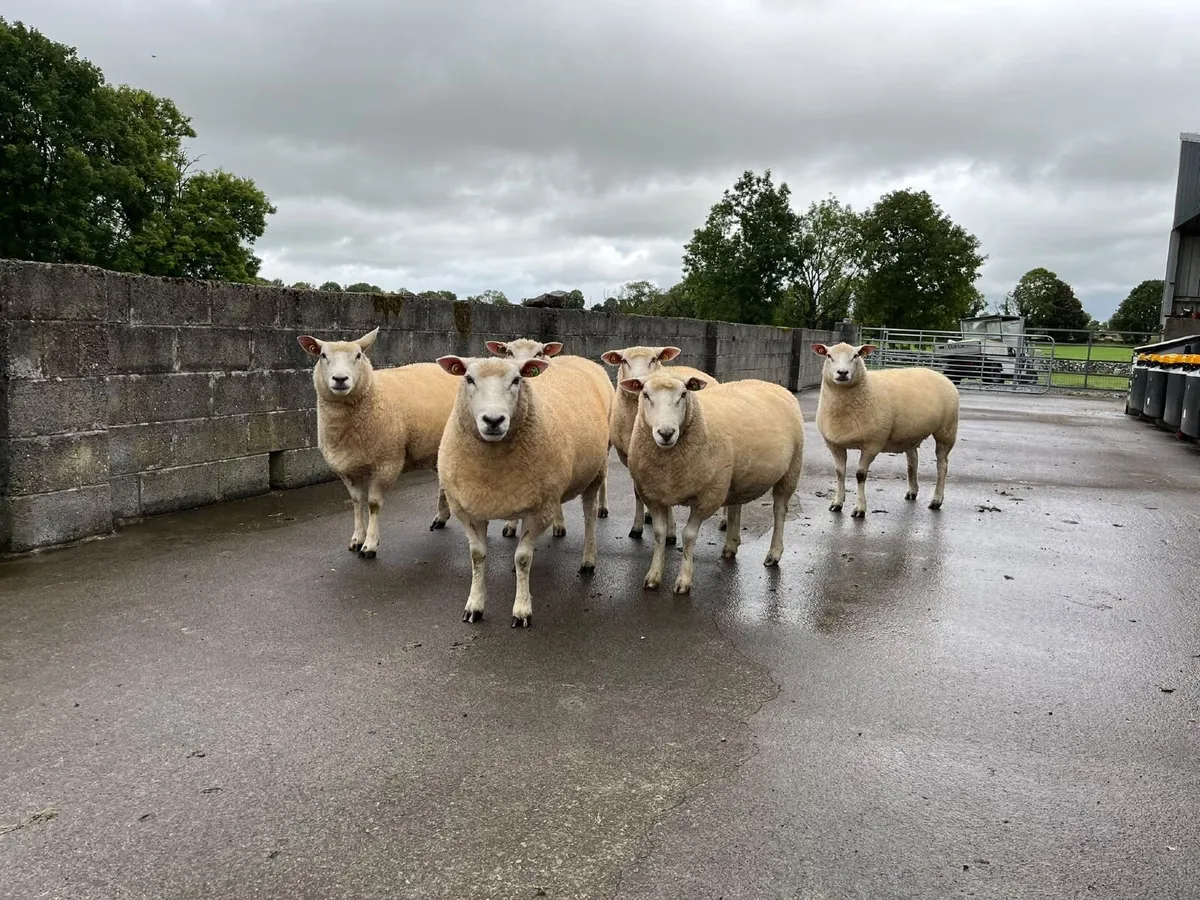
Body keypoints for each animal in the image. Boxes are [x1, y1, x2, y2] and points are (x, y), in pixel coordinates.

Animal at [297, 327, 459, 558]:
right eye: (323, 355)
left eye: (358, 355)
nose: (340, 379)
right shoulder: (347, 468)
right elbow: (357, 502)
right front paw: (357, 538)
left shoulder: (386, 463)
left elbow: (373, 504)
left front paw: (370, 545)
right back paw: (441, 517)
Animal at [486, 337, 612, 536]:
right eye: (508, 352)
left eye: (539, 353)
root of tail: (578, 357)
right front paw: (511, 525)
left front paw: (558, 524)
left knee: (604, 474)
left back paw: (602, 507)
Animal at [600, 345, 727, 543]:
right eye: (624, 361)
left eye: (654, 359)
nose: (640, 379)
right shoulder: (633, 459)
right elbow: (639, 493)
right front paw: (637, 527)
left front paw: (670, 532)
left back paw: (725, 522)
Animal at [619, 370, 805, 595]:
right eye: (645, 394)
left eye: (684, 394)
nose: (666, 433)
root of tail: (773, 385)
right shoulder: (654, 495)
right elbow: (658, 534)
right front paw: (653, 576)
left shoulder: (707, 497)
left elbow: (688, 536)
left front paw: (684, 581)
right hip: (735, 478)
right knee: (736, 508)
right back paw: (731, 546)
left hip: (790, 471)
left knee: (779, 511)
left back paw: (774, 554)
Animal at [811, 342, 960, 518]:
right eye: (829, 356)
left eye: (856, 355)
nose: (842, 373)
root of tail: (939, 374)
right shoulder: (834, 444)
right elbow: (840, 472)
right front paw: (837, 503)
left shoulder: (872, 444)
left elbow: (860, 475)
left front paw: (860, 508)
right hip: (909, 434)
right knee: (913, 460)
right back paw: (912, 491)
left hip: (947, 430)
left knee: (942, 466)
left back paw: (936, 500)